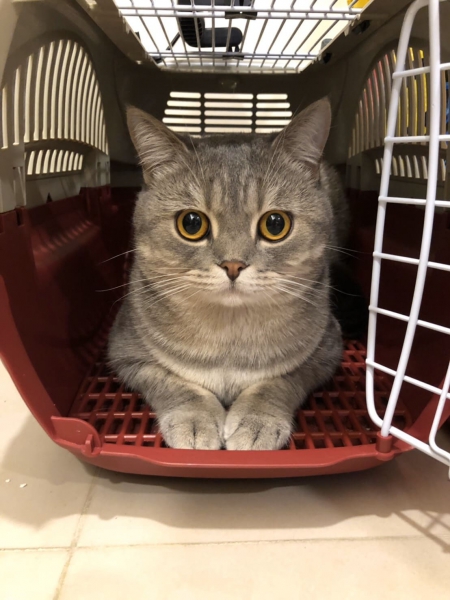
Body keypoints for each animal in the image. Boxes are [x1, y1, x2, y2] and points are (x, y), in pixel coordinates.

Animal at [108, 98, 349, 450]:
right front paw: (194, 420)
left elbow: (279, 381)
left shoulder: (326, 350)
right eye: (191, 223)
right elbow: (172, 382)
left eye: (275, 224)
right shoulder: (125, 353)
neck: (229, 340)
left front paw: (258, 421)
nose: (233, 265)